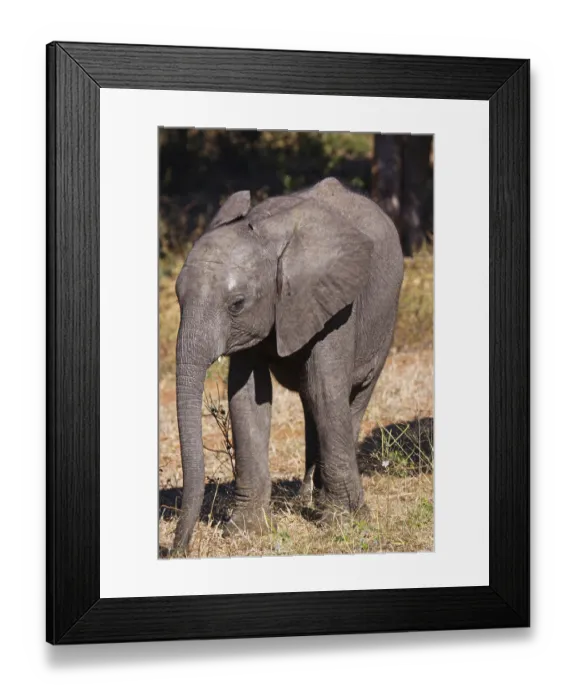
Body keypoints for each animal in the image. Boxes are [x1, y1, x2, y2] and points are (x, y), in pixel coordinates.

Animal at [173, 177, 404, 550]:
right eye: (178, 297)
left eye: (237, 304)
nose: (177, 550)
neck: (265, 235)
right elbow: (246, 399)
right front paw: (246, 530)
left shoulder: (336, 302)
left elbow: (326, 390)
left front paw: (343, 524)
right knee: (310, 400)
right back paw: (306, 499)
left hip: (385, 320)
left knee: (347, 399)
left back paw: (328, 502)